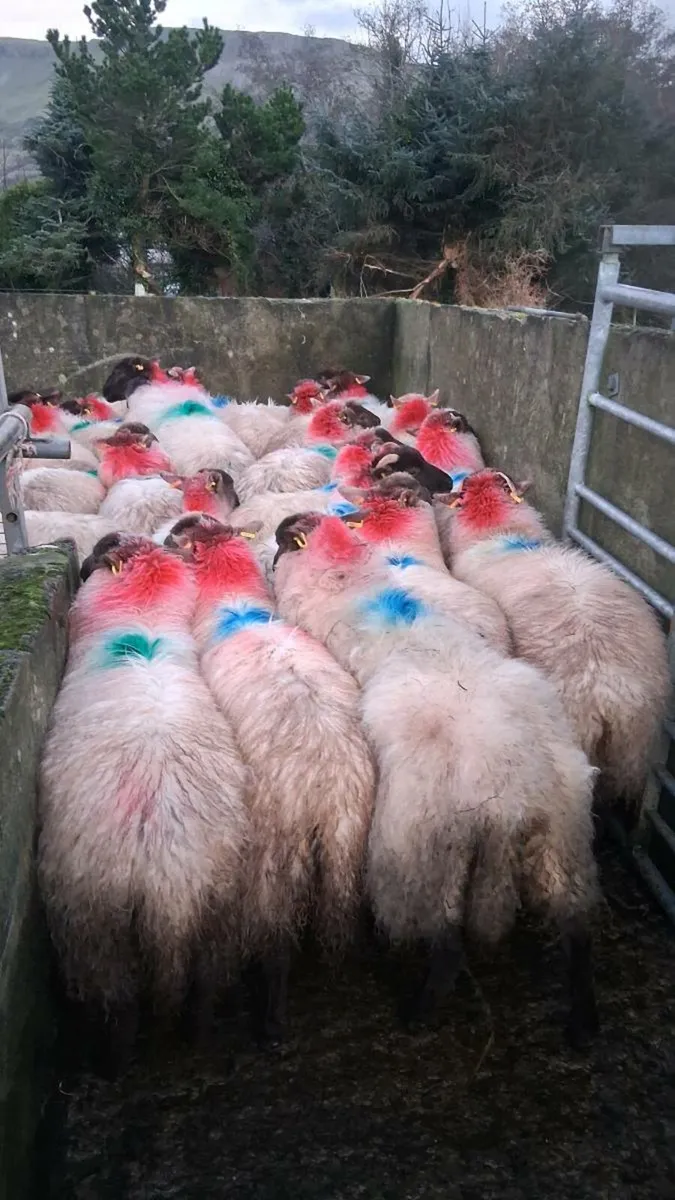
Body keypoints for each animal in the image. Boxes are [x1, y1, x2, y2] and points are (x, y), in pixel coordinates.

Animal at [38, 533, 250, 1065]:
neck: (143, 617)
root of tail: (169, 882)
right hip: (217, 912)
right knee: (203, 990)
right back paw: (199, 1041)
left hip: (95, 924)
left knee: (122, 1002)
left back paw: (113, 1062)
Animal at [166, 514, 375, 1043]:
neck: (232, 599)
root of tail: (328, 782)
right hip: (348, 853)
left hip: (272, 860)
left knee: (274, 941)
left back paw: (263, 1021)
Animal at [273, 512, 600, 1047]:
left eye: (283, 547)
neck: (361, 587)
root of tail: (510, 802)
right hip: (563, 840)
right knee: (577, 929)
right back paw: (583, 1021)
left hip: (421, 856)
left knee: (446, 945)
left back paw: (417, 1009)